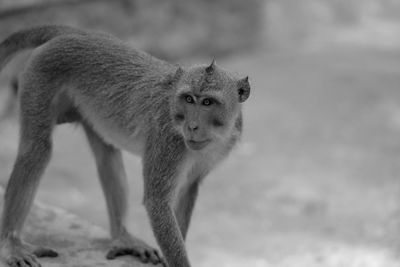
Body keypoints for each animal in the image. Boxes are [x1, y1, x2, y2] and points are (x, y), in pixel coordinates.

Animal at [0, 25, 250, 267]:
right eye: (189, 99)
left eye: (207, 102)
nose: (192, 126)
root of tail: (75, 35)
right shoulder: (167, 140)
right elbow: (158, 203)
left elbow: (187, 189)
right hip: (40, 76)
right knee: (37, 150)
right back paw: (11, 242)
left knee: (106, 155)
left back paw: (122, 237)